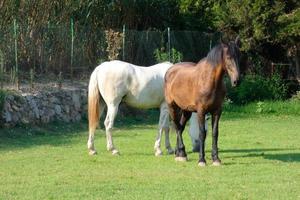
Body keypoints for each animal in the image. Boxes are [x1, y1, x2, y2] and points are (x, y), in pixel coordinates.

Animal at [164, 37, 241, 166]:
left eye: (239, 55)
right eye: (228, 57)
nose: (237, 81)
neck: (210, 81)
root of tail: (170, 71)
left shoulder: (217, 111)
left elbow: (215, 133)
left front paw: (216, 159)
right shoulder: (201, 111)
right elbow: (202, 134)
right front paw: (202, 160)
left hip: (186, 111)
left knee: (181, 127)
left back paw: (179, 153)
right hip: (172, 107)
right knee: (178, 127)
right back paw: (182, 154)